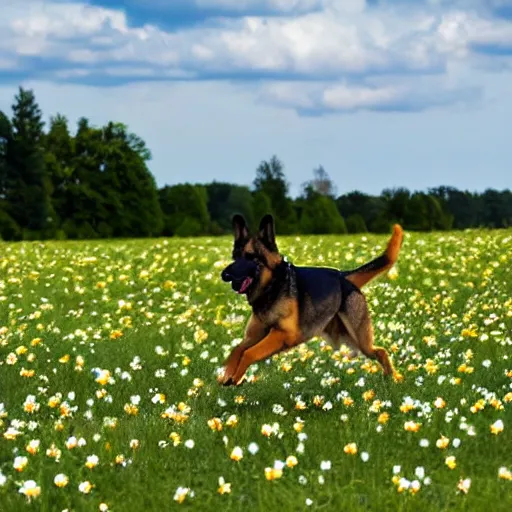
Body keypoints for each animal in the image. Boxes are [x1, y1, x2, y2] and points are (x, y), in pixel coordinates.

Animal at [218, 214, 402, 386]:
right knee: (378, 351)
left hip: (359, 338)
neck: (272, 287)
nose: (224, 275)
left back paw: (393, 378)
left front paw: (236, 376)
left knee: (381, 351)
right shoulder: (254, 336)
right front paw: (227, 375)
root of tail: (343, 276)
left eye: (250, 257)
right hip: (347, 339)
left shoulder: (283, 334)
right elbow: (237, 350)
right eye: (235, 257)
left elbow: (248, 353)